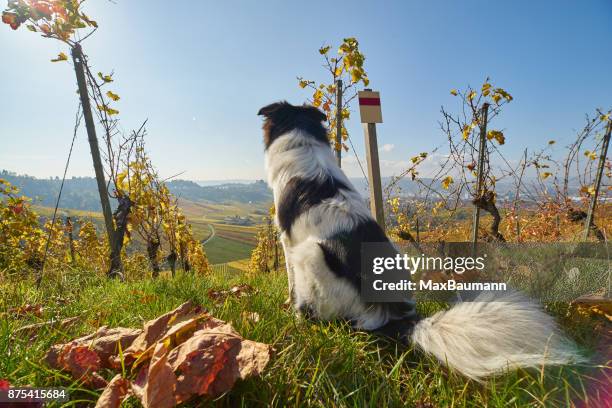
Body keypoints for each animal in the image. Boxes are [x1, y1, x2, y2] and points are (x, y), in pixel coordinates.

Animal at [258, 101, 584, 380]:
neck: (303, 142)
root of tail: (397, 319)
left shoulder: (287, 242)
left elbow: (290, 283)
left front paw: (288, 307)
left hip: (311, 254)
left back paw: (303, 321)